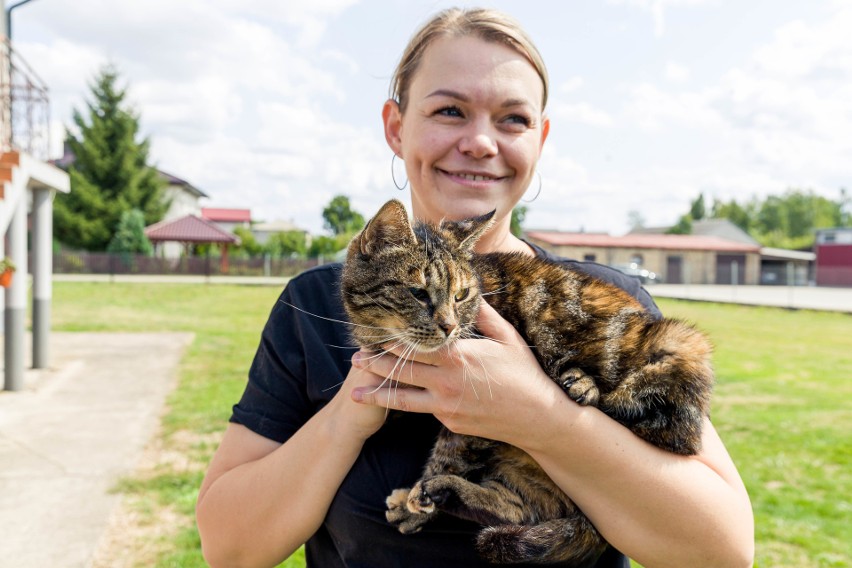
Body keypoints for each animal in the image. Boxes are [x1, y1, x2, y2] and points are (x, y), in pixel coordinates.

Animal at [340, 199, 712, 564]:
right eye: (417, 292)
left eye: (461, 295)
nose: (449, 326)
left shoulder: (470, 418)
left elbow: (449, 452)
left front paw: (415, 507)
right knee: (520, 510)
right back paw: (447, 491)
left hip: (680, 345)